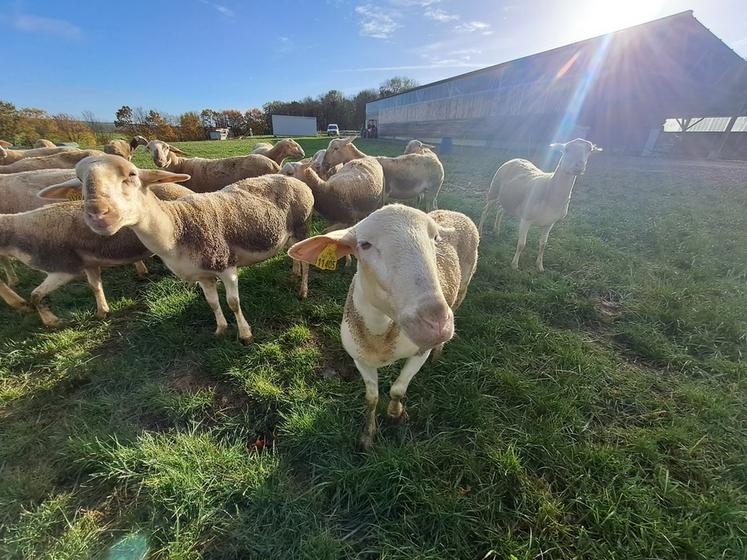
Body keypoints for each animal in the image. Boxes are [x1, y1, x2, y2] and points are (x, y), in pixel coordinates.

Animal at [0, 182, 193, 326]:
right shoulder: (89, 264)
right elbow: (95, 286)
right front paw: (102, 312)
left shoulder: (65, 269)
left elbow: (35, 295)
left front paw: (52, 321)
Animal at [41, 155, 316, 344]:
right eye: (80, 180)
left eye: (131, 175)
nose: (98, 214)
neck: (177, 226)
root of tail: (293, 178)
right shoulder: (202, 275)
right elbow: (212, 302)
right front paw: (220, 329)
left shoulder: (226, 265)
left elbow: (233, 302)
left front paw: (245, 334)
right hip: (289, 234)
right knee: (294, 254)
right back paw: (293, 273)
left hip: (302, 226)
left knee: (307, 262)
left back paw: (303, 290)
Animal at [290, 203, 476, 448]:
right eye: (365, 245)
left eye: (435, 238)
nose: (436, 323)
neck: (380, 336)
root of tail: (454, 212)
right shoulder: (360, 358)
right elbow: (372, 398)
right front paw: (368, 436)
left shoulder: (420, 352)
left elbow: (398, 389)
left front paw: (395, 413)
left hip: (463, 288)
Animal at [480, 139, 600, 272]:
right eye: (566, 149)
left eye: (589, 151)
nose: (579, 165)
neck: (550, 188)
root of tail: (516, 158)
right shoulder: (526, 218)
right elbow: (521, 244)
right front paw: (514, 265)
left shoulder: (550, 223)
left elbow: (543, 244)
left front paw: (540, 266)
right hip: (494, 190)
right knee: (485, 211)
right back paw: (480, 232)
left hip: (509, 199)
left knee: (500, 210)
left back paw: (496, 231)